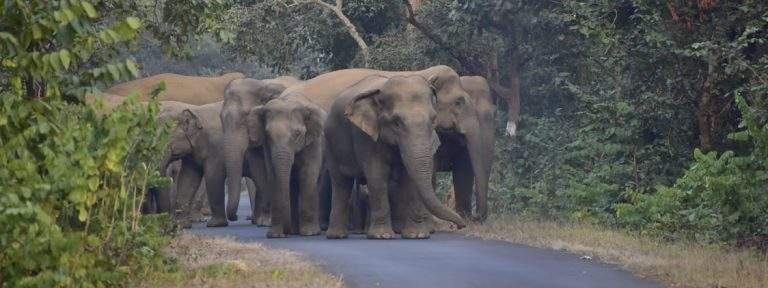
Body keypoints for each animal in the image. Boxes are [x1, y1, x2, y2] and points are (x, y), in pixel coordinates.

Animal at [220, 76, 302, 223]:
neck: (262, 85)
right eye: (220, 118)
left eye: (246, 115)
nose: (235, 217)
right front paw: (264, 221)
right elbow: (257, 169)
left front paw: (268, 221)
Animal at [320, 73, 464, 238]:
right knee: (341, 183)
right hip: (330, 142)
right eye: (396, 122)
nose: (461, 225)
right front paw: (381, 236)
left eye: (433, 120)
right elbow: (377, 174)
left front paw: (416, 236)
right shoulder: (365, 136)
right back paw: (337, 236)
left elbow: (409, 176)